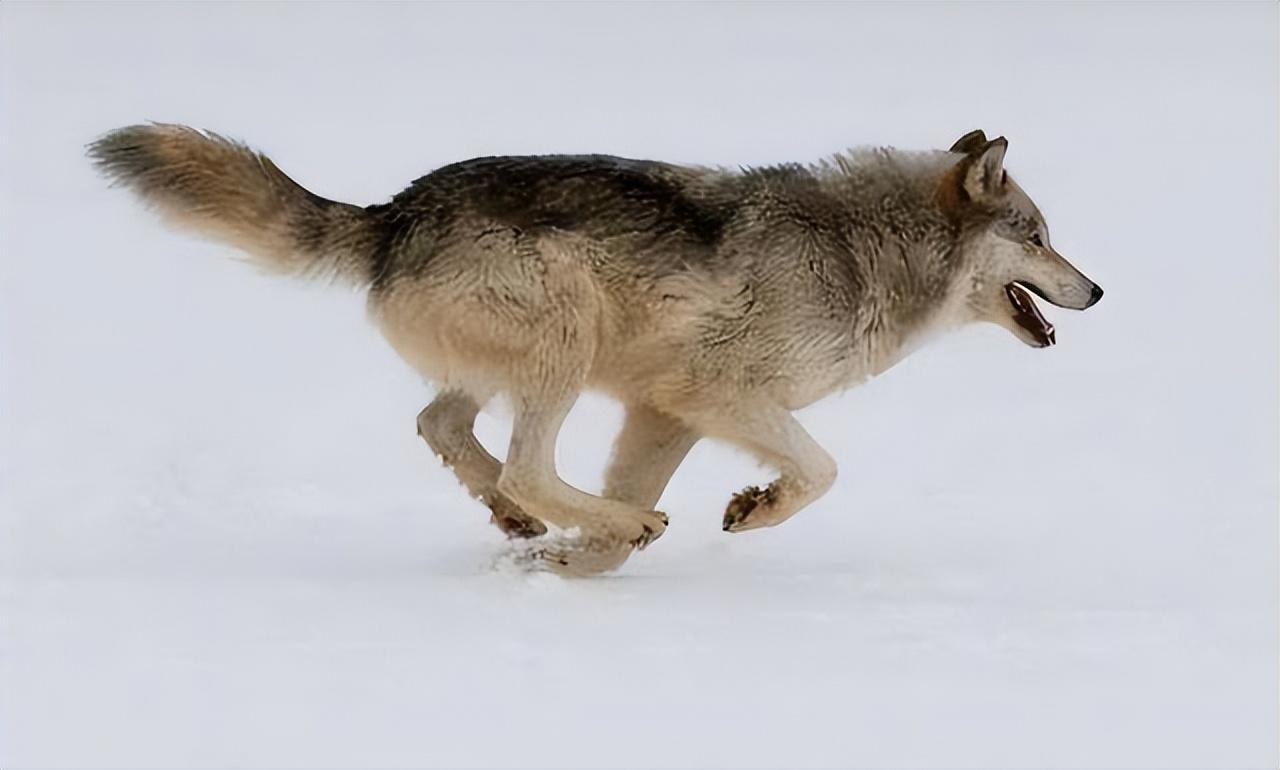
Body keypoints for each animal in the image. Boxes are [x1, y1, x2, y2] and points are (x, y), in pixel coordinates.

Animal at [87, 124, 1100, 570]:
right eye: (1041, 235)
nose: (1096, 291)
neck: (865, 254)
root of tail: (393, 214)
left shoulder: (662, 411)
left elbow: (639, 489)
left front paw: (578, 567)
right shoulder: (715, 395)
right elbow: (819, 472)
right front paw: (739, 512)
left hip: (514, 365)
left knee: (443, 427)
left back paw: (522, 525)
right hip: (564, 336)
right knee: (523, 462)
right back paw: (575, 519)